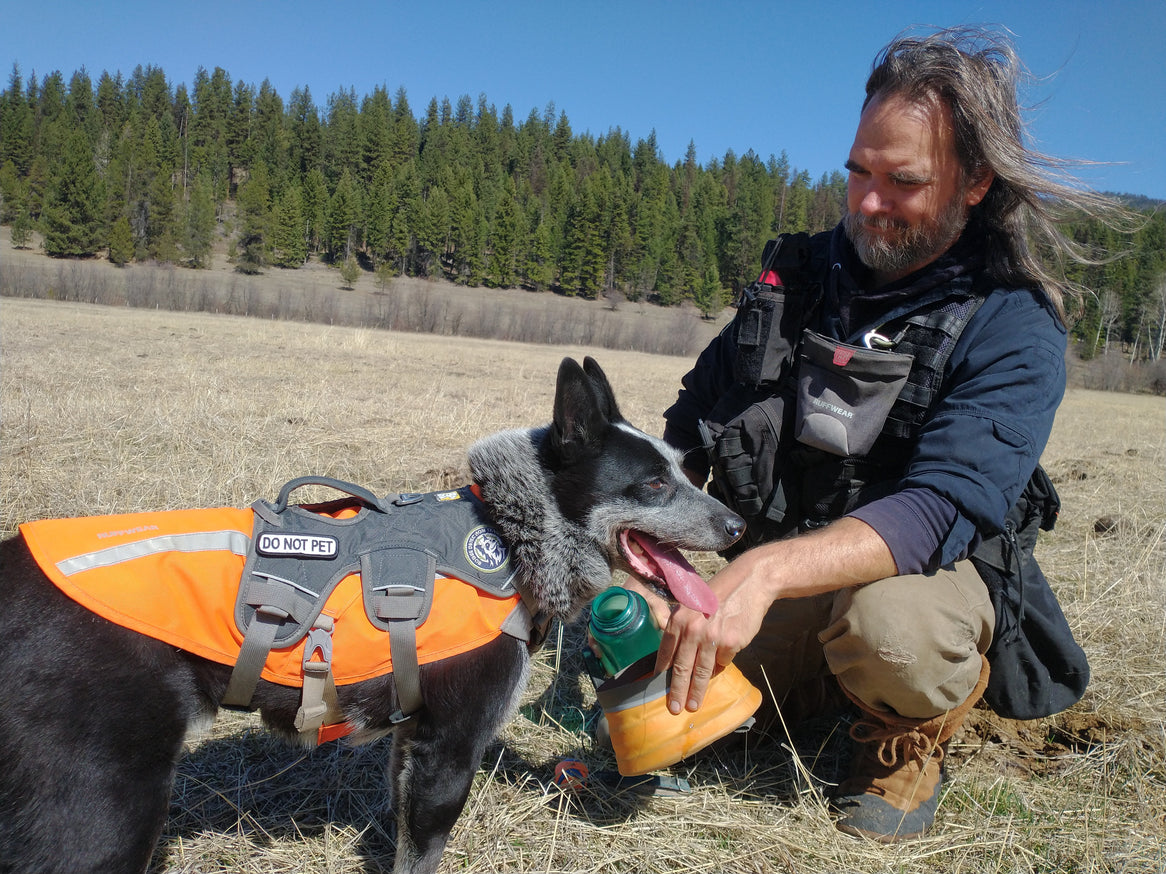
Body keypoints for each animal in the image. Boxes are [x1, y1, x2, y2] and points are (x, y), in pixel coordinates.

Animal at [0, 356, 741, 874]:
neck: (510, 531)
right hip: (101, 815)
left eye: (684, 468)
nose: (737, 525)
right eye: (653, 482)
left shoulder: (410, 742)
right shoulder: (449, 752)